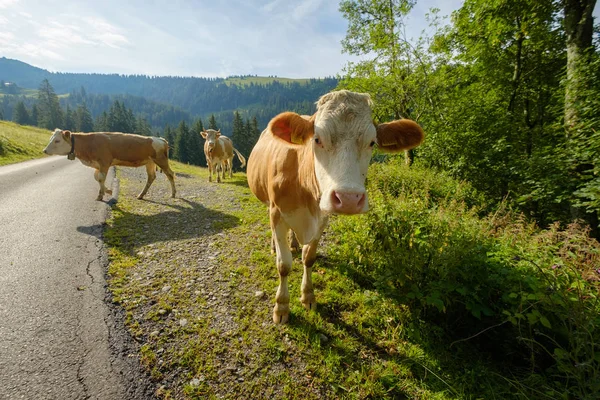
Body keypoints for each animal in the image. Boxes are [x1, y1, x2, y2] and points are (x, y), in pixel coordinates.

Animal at [42, 130, 176, 202]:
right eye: (51, 138)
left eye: (57, 140)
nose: (45, 150)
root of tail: (161, 139)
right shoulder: (98, 165)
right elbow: (97, 178)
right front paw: (108, 190)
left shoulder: (104, 162)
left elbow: (101, 178)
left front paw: (100, 195)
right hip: (150, 162)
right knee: (151, 177)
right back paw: (141, 195)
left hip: (161, 160)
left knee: (170, 174)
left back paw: (173, 194)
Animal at [246, 89, 424, 324]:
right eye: (317, 139)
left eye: (372, 143)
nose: (348, 198)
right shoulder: (277, 213)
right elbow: (284, 265)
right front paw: (281, 307)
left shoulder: (322, 218)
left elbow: (309, 258)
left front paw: (308, 296)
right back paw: (276, 245)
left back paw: (293, 243)